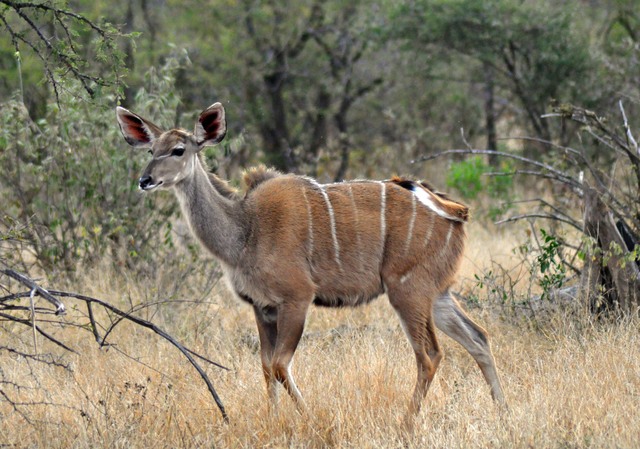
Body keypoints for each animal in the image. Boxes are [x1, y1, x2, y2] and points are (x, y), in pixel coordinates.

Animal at [115, 103, 504, 418]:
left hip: (407, 291)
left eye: (179, 150)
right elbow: (265, 365)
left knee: (429, 354)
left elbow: (280, 364)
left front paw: (309, 418)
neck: (246, 230)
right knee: (478, 338)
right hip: (437, 294)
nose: (145, 180)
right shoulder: (262, 306)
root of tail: (455, 210)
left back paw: (406, 424)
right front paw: (274, 420)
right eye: (151, 149)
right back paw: (502, 411)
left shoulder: (297, 298)